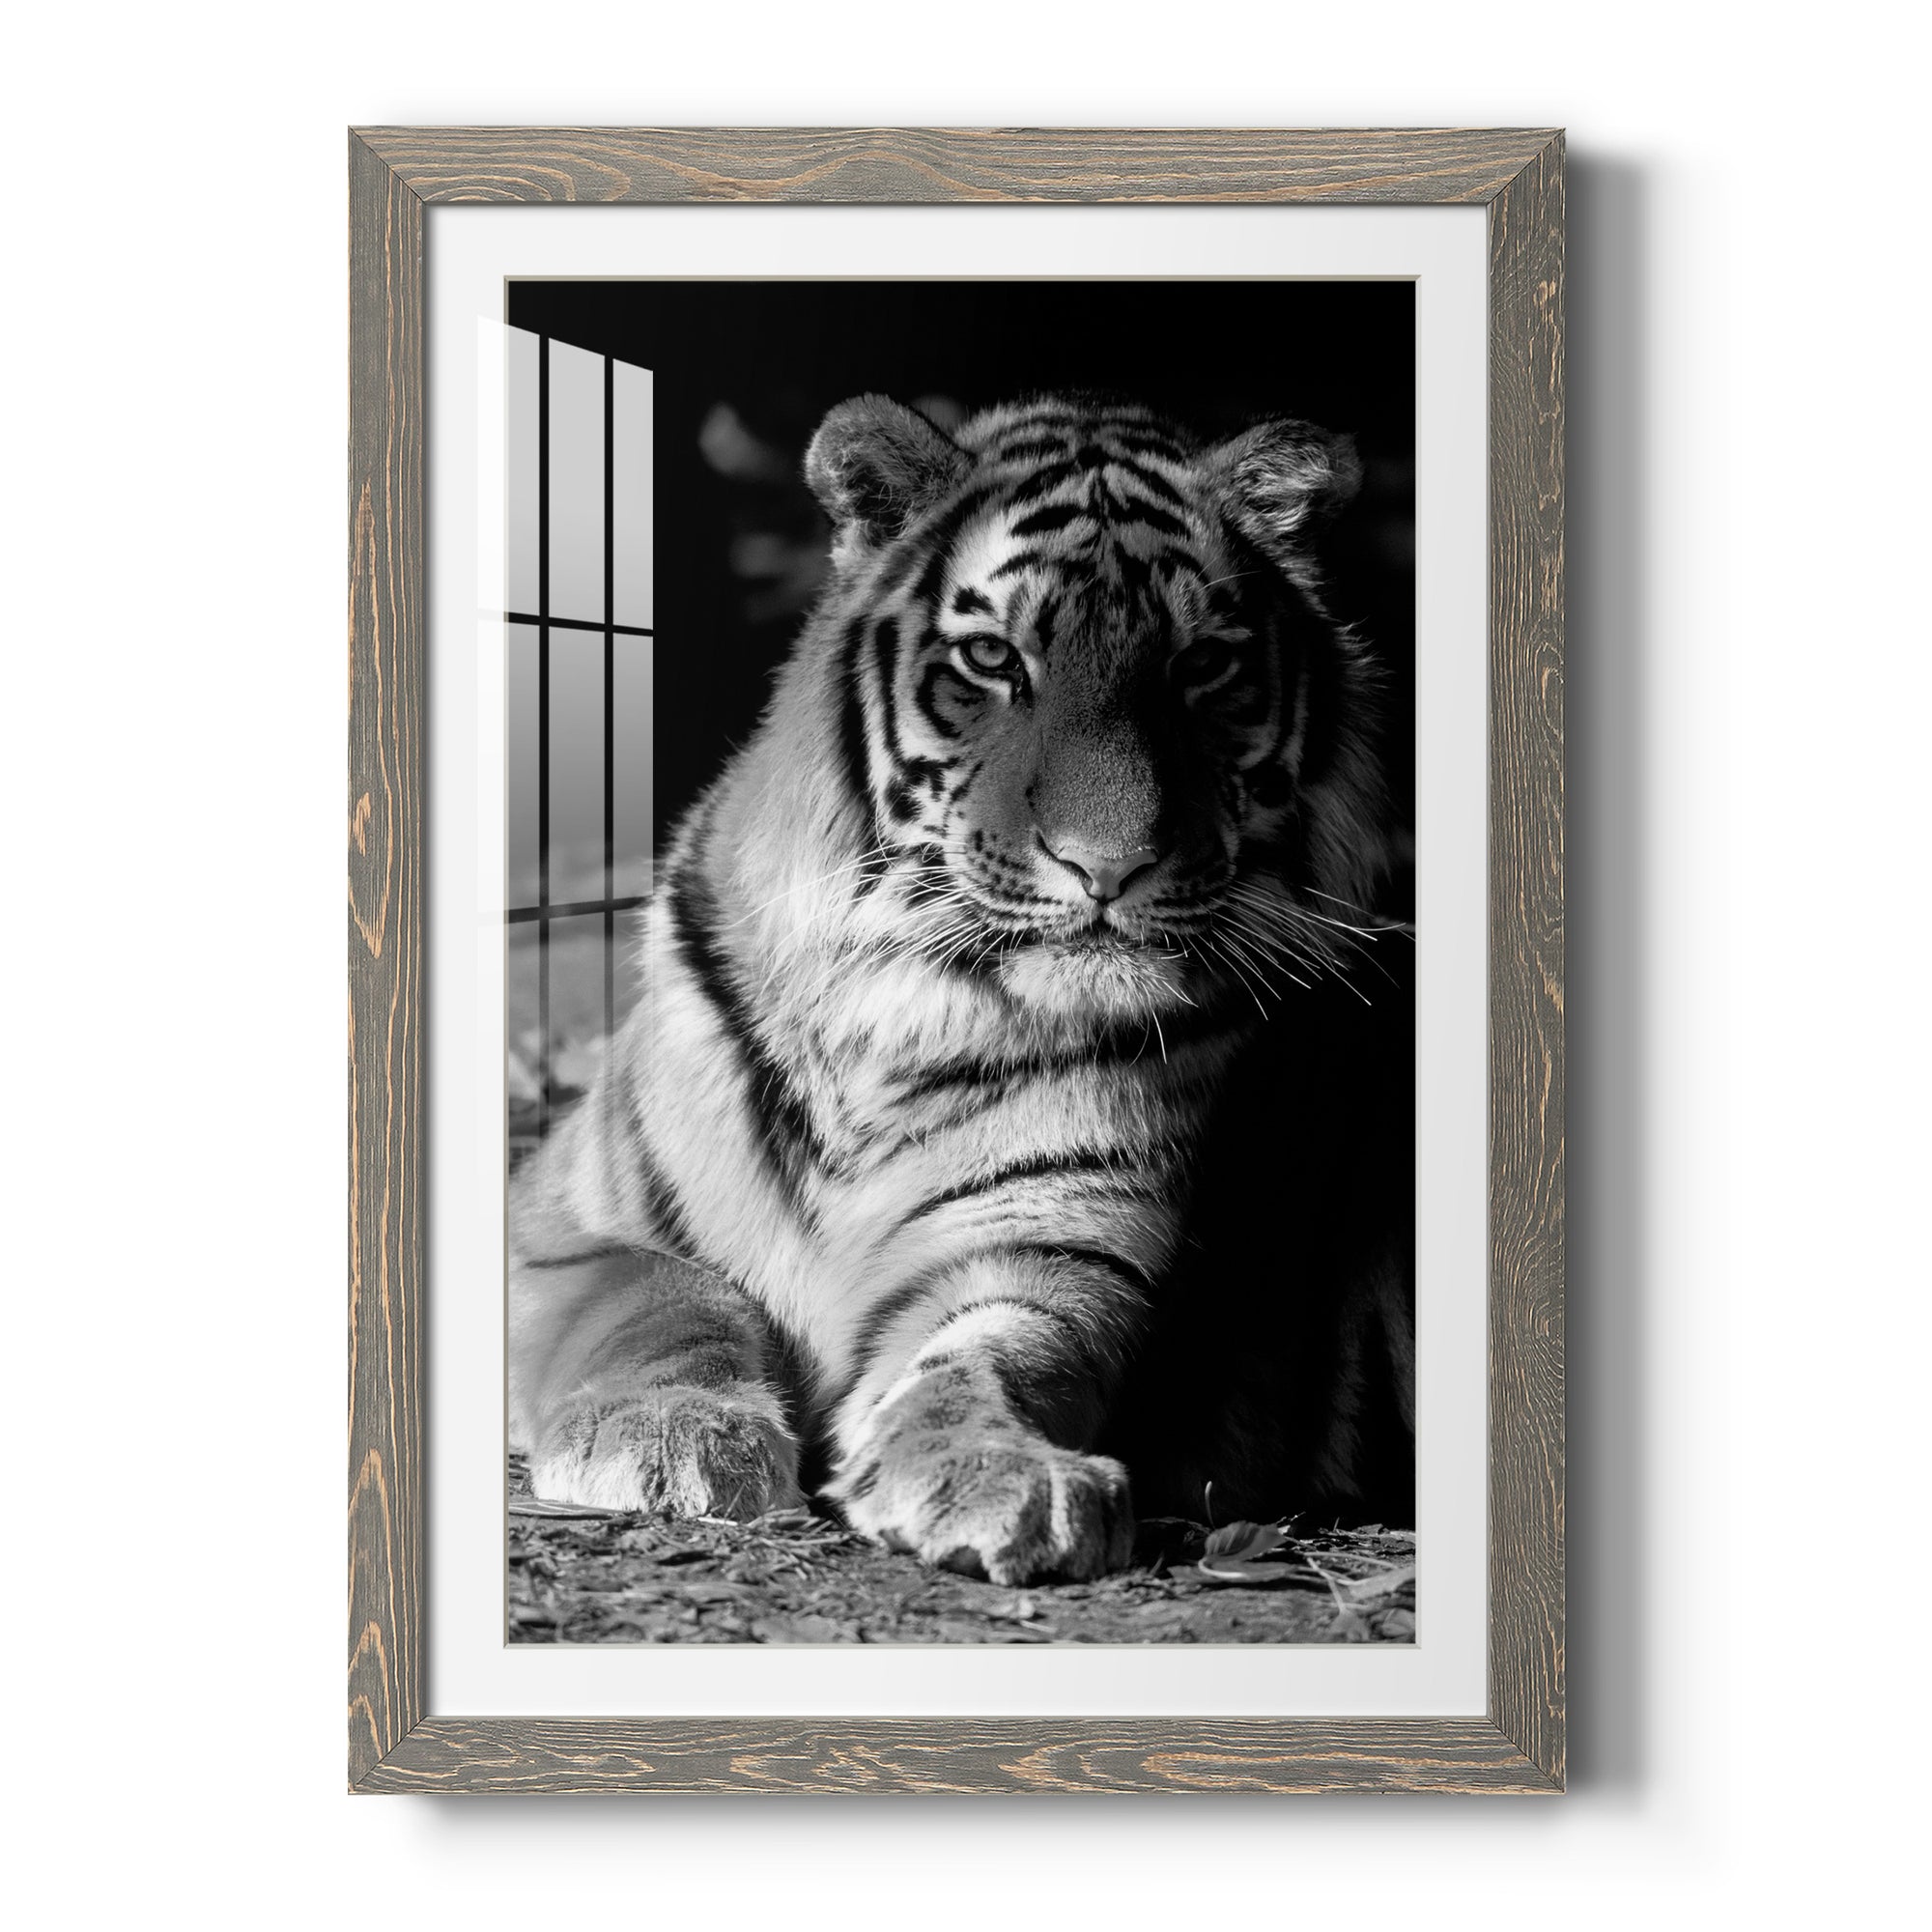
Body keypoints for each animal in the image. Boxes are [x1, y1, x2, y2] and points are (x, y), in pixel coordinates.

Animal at [509, 391, 1414, 1588]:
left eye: (1200, 667)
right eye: (992, 658)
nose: (1108, 865)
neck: (896, 1011)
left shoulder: (1049, 1247)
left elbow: (990, 1355)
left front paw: (999, 1472)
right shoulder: (560, 1219)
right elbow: (664, 1297)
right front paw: (666, 1435)